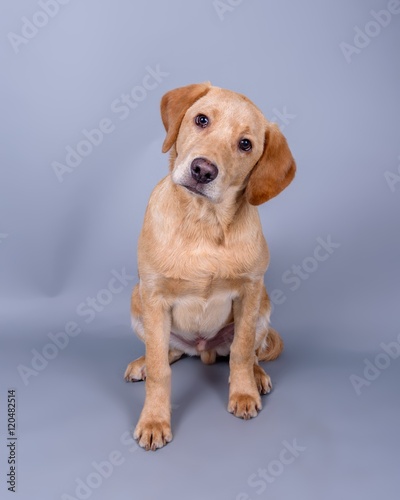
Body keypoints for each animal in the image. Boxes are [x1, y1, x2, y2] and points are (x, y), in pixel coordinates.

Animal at [125, 82, 296, 450]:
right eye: (201, 120)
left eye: (245, 144)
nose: (203, 170)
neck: (203, 221)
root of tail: (202, 349)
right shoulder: (154, 296)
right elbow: (161, 371)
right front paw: (154, 420)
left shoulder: (249, 291)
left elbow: (242, 351)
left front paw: (243, 393)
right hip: (137, 301)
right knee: (168, 351)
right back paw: (143, 362)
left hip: (263, 306)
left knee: (248, 352)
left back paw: (257, 376)